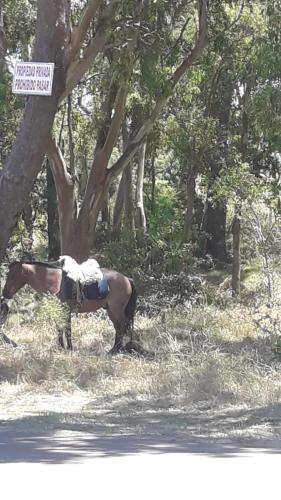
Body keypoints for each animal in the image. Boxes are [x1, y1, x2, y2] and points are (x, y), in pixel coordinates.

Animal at [0, 260, 137, 354]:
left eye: (13, 276)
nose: (4, 293)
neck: (56, 282)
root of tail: (127, 279)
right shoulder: (59, 311)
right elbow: (61, 329)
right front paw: (62, 347)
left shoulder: (65, 310)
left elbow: (67, 329)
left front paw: (69, 348)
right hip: (111, 311)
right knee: (118, 328)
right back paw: (113, 350)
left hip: (116, 310)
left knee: (122, 326)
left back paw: (118, 350)